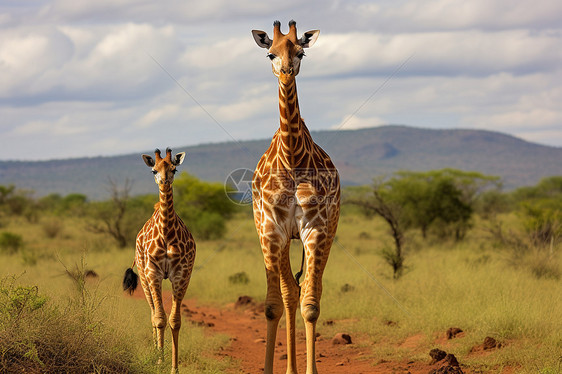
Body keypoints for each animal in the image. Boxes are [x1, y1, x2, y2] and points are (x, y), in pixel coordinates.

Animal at [122, 148, 195, 372]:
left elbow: (175, 320)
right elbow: (160, 319)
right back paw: (155, 352)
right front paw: (160, 362)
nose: (164, 181)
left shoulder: (181, 274)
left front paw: (174, 367)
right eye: (154, 170)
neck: (167, 233)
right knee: (152, 314)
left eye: (174, 168)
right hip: (144, 277)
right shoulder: (153, 272)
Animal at [250, 21, 340, 374]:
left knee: (306, 291)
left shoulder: (316, 229)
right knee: (286, 294)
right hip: (277, 238)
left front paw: (309, 370)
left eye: (300, 52)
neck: (292, 159)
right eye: (270, 54)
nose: (287, 72)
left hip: (319, 234)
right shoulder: (272, 230)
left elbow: (310, 303)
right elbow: (277, 302)